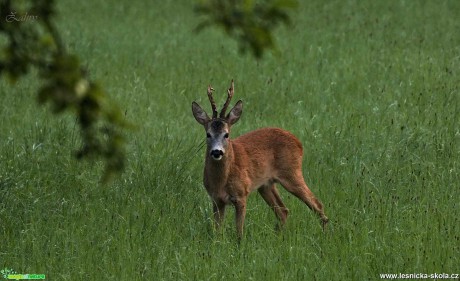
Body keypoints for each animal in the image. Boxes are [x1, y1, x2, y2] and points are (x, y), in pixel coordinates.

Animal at [192, 80, 328, 240]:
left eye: (226, 134)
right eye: (208, 134)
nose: (216, 152)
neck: (221, 181)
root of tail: (299, 142)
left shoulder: (241, 195)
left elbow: (239, 232)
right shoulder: (216, 200)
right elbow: (217, 232)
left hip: (292, 173)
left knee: (317, 204)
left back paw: (325, 235)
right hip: (266, 185)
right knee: (283, 210)